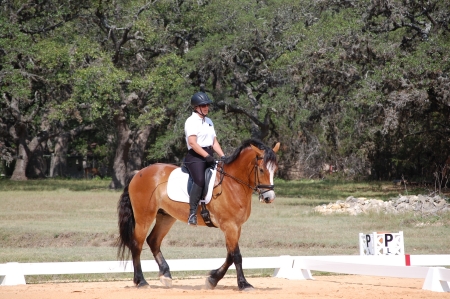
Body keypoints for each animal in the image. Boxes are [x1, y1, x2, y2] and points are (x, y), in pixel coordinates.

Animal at [116, 139, 280, 292]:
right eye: (261, 170)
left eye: (275, 170)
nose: (269, 198)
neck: (233, 183)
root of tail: (138, 173)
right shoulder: (229, 226)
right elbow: (236, 256)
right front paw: (244, 284)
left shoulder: (236, 227)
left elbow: (230, 255)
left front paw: (213, 279)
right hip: (144, 217)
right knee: (137, 244)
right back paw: (141, 281)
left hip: (166, 217)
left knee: (153, 241)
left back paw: (166, 275)